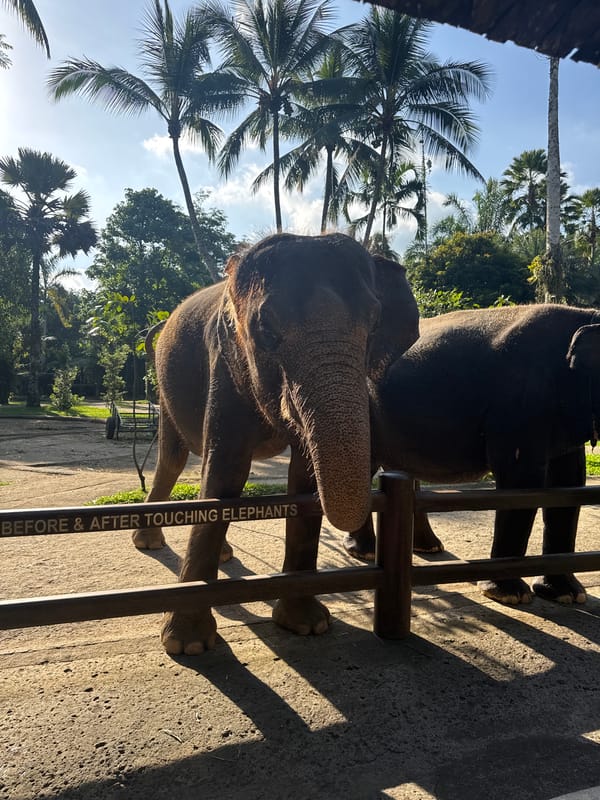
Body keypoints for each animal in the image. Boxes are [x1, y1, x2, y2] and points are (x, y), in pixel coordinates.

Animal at [133, 234, 420, 655]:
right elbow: (225, 470)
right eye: (266, 327)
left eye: (374, 322)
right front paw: (188, 647)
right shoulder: (225, 361)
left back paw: (223, 556)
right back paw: (149, 543)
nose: (358, 549)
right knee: (173, 458)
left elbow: (302, 477)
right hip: (164, 391)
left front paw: (308, 626)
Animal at [347, 303, 600, 606]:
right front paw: (510, 595)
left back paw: (428, 547)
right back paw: (367, 552)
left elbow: (570, 481)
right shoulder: (519, 404)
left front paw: (567, 595)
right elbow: (521, 479)